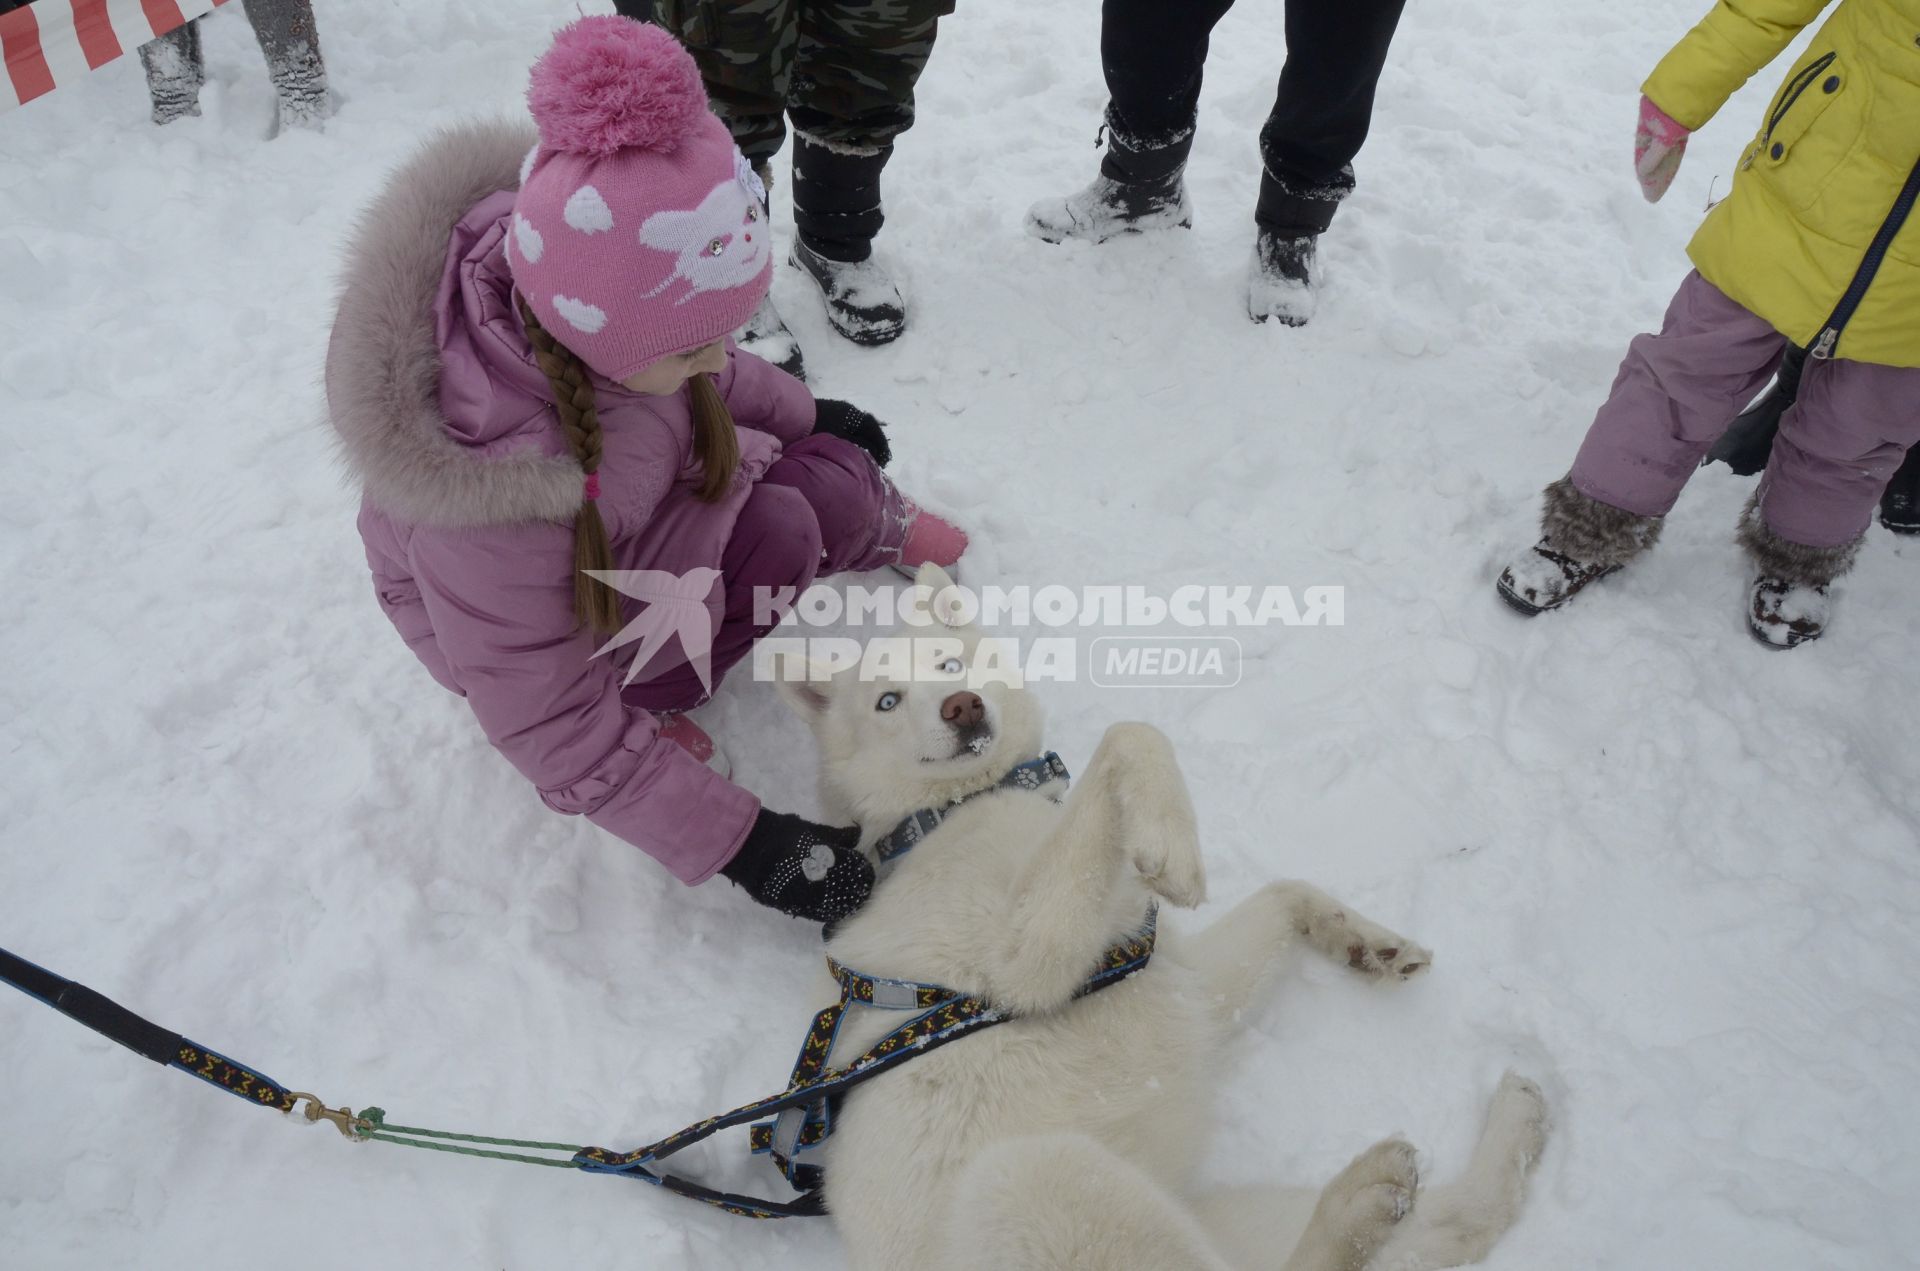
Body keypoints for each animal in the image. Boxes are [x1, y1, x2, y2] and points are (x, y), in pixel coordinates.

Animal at [771, 568, 1551, 1271]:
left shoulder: (1177, 976)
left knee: (1459, 1221)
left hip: (1223, 1216)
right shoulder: (1026, 958)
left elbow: (1287, 892)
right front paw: (1170, 842)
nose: (962, 707)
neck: (954, 807)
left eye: (950, 665)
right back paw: (1361, 1198)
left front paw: (1370, 945)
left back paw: (1513, 1125)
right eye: (887, 700)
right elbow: (1131, 734)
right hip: (1036, 1177)